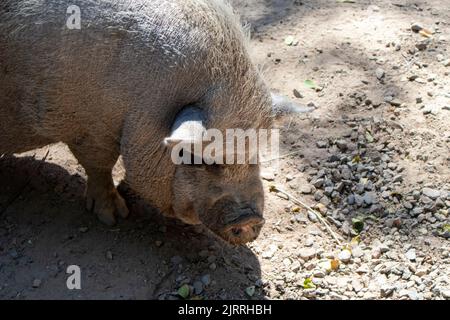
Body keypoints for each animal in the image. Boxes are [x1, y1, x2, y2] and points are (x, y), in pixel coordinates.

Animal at [0, 0, 306, 245]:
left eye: (254, 154)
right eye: (196, 158)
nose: (250, 220)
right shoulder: (88, 129)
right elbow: (99, 166)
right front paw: (115, 217)